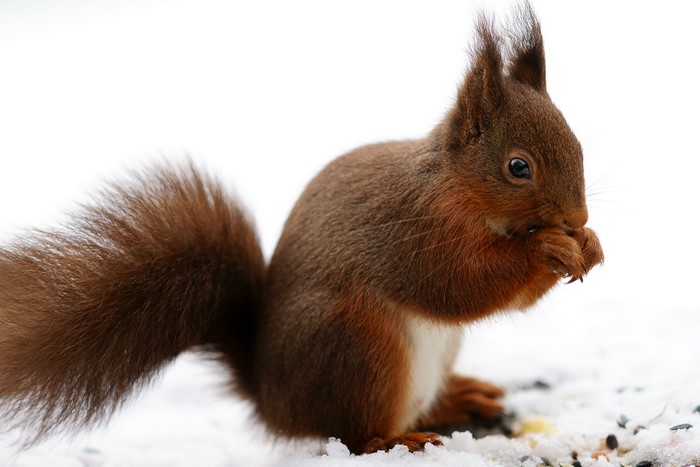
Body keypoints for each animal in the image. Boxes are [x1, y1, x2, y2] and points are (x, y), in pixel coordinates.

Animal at [0, 3, 603, 455]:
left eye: (577, 143)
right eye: (518, 167)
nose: (577, 219)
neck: (452, 185)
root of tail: (273, 401)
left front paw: (589, 246)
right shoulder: (414, 232)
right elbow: (460, 284)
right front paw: (548, 249)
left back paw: (461, 398)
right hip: (357, 345)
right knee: (354, 434)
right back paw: (396, 440)